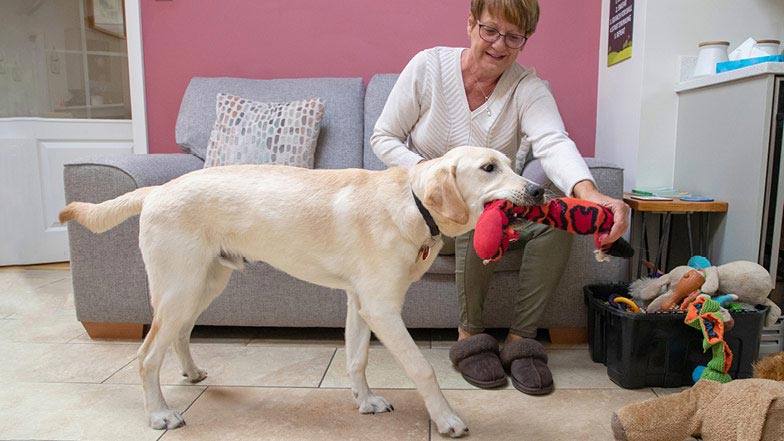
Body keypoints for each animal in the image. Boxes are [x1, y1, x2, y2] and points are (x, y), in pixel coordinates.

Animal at [59, 145, 544, 437]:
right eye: (489, 168)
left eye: (510, 163)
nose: (539, 189)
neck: (412, 202)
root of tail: (158, 189)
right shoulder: (382, 309)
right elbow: (422, 370)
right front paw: (446, 419)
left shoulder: (360, 305)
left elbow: (356, 359)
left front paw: (364, 401)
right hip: (180, 287)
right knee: (146, 357)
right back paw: (159, 414)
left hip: (204, 284)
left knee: (177, 335)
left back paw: (192, 373)